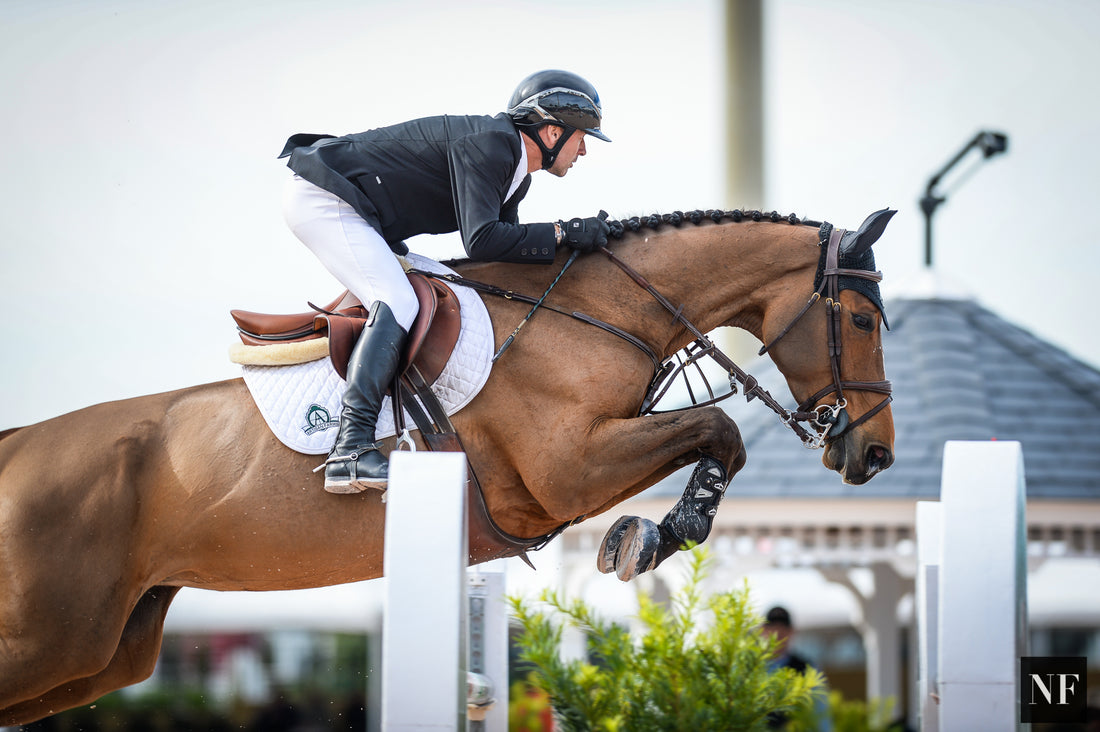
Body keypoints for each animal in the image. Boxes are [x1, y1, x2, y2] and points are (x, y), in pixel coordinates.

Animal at [0, 206, 893, 726]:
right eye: (859, 318)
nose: (875, 453)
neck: (599, 311)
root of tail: (16, 446)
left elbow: (712, 437)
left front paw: (650, 534)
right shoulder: (567, 469)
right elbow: (719, 431)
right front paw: (652, 534)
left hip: (105, 651)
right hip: (54, 640)